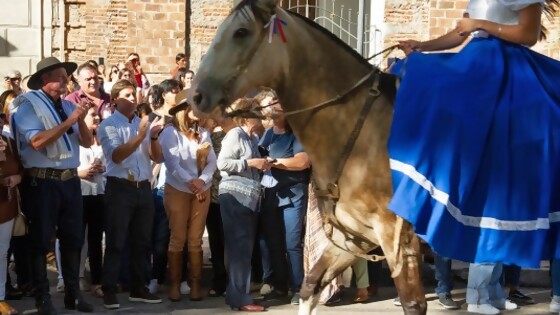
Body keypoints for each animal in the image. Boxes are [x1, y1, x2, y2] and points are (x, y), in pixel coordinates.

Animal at [190, 0, 426, 315]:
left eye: (241, 32)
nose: (196, 96)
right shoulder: (354, 237)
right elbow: (309, 285)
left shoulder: (397, 237)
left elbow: (412, 304)